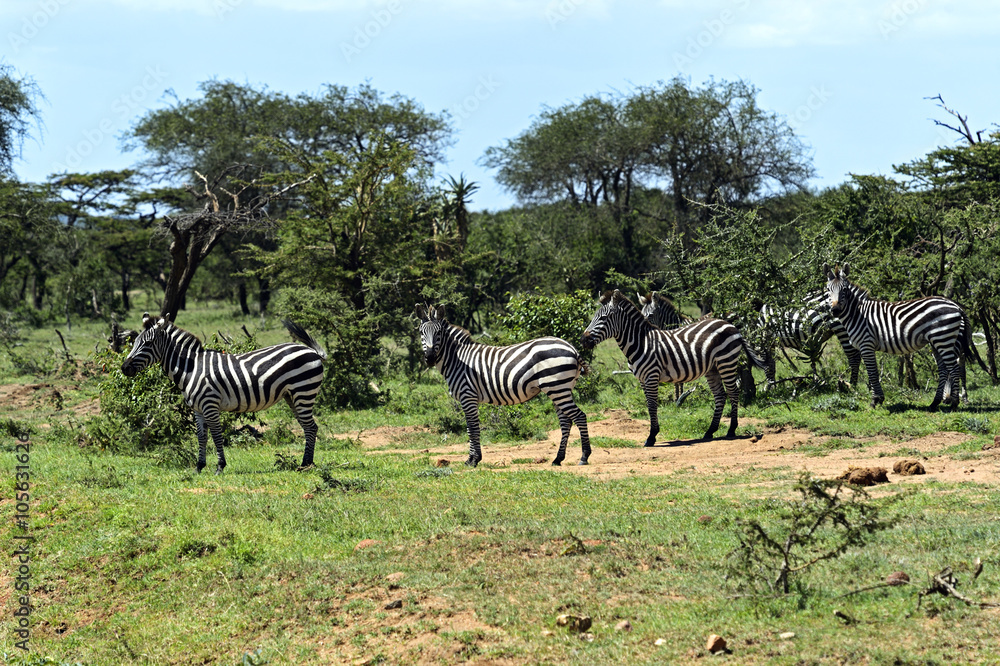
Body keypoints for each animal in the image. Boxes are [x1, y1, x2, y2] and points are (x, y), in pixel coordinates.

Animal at [120, 312, 324, 472]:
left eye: (147, 344)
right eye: (134, 342)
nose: (124, 368)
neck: (190, 368)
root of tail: (312, 352)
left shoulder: (209, 404)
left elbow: (217, 435)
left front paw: (220, 466)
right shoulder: (197, 408)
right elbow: (201, 436)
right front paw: (199, 466)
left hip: (303, 392)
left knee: (311, 427)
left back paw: (306, 464)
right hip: (292, 396)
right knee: (308, 427)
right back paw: (306, 463)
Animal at [412, 302, 588, 464]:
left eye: (439, 333)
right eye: (421, 332)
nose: (429, 358)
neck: (456, 360)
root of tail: (572, 348)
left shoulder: (467, 395)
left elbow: (472, 428)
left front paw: (473, 459)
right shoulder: (470, 398)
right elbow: (472, 428)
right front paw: (474, 458)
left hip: (557, 388)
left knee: (579, 416)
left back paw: (584, 456)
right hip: (560, 388)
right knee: (566, 422)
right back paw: (558, 459)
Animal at [580, 288, 764, 444]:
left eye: (603, 318)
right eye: (594, 317)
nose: (583, 340)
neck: (641, 342)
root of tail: (731, 325)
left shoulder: (651, 376)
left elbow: (652, 405)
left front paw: (651, 436)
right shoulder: (642, 379)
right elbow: (649, 404)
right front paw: (653, 433)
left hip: (726, 362)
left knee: (733, 392)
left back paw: (731, 430)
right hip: (712, 368)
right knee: (720, 395)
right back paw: (709, 431)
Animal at [824, 262, 980, 408]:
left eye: (844, 290)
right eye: (828, 290)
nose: (835, 310)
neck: (857, 313)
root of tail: (955, 305)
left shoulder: (866, 344)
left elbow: (872, 372)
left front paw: (875, 400)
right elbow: (873, 372)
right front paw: (879, 398)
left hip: (943, 338)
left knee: (954, 368)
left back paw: (954, 403)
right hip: (938, 341)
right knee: (944, 369)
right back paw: (934, 403)